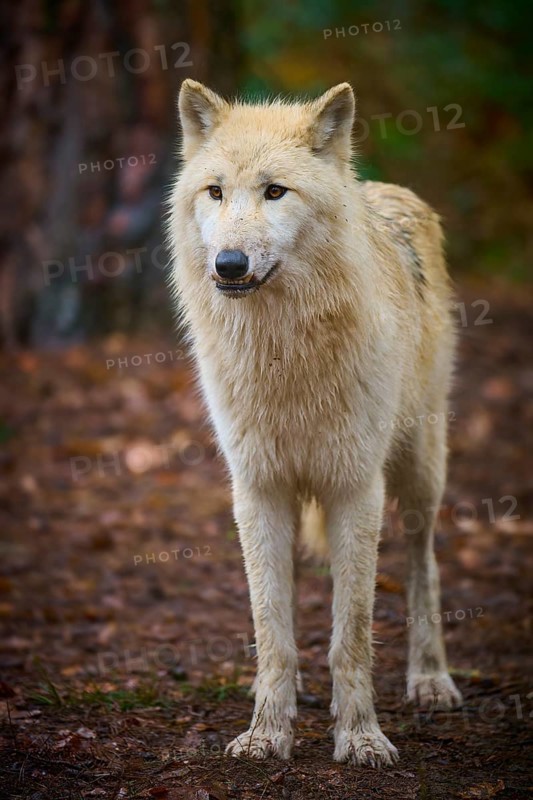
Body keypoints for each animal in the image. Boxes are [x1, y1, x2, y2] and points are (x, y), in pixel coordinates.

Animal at [167, 79, 463, 766]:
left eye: (276, 191)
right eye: (214, 191)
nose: (228, 264)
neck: (284, 352)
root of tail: (386, 191)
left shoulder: (356, 489)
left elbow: (351, 634)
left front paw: (360, 737)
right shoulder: (257, 489)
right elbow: (272, 627)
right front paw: (266, 733)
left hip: (419, 473)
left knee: (425, 563)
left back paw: (431, 678)